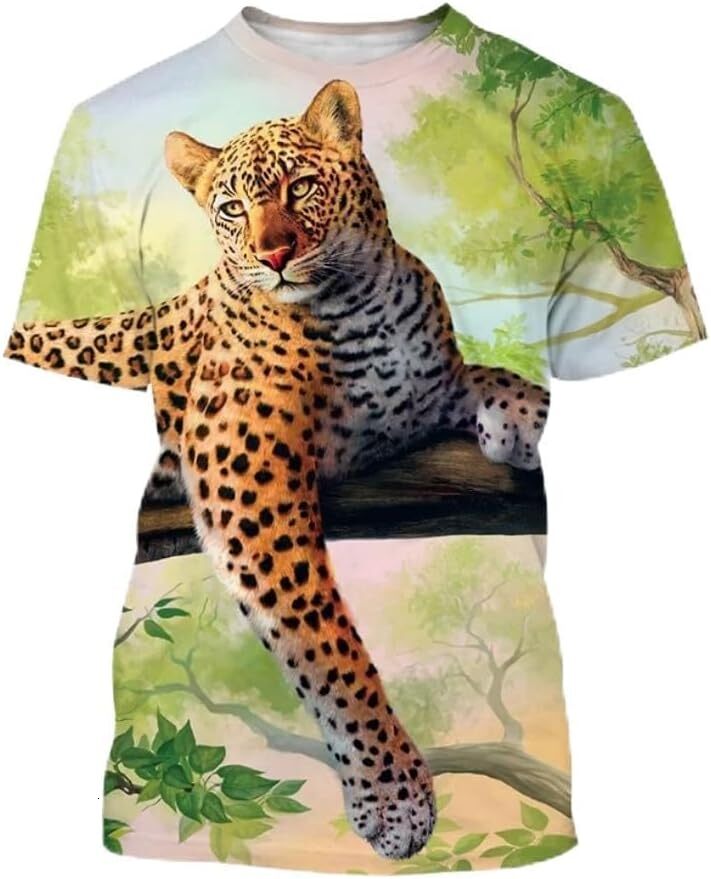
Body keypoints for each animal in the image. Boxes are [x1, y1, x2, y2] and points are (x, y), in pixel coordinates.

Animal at [5, 80, 550, 859]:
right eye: (231, 207)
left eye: (301, 187)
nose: (275, 253)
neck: (361, 304)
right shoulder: (249, 482)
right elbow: (326, 644)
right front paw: (393, 794)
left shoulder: (416, 401)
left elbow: (481, 374)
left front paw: (526, 411)